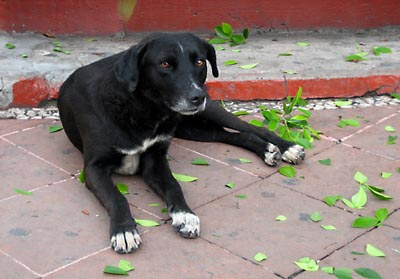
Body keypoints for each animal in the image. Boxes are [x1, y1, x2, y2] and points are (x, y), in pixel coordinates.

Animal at [57, 32, 304, 254]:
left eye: (200, 61)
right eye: (165, 63)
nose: (196, 97)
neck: (143, 110)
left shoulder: (155, 160)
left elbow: (174, 186)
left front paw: (186, 215)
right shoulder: (94, 167)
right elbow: (116, 197)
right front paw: (124, 231)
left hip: (207, 111)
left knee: (253, 128)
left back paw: (287, 148)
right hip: (193, 129)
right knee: (235, 135)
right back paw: (267, 150)